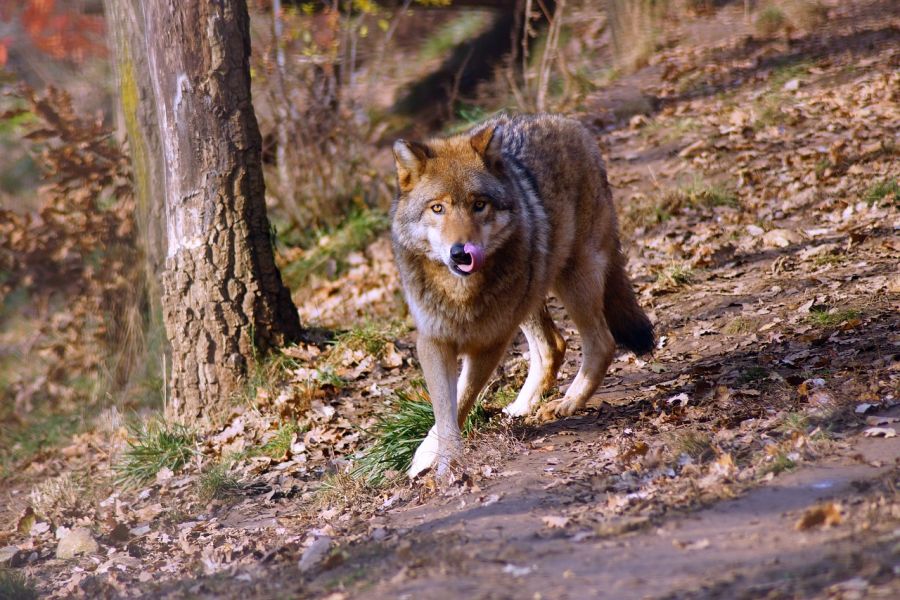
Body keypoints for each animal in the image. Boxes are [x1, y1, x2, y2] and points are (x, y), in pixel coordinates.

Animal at [390, 112, 652, 478]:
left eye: (479, 205)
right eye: (437, 208)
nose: (461, 253)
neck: (460, 294)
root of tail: (567, 122)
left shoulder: (490, 343)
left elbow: (462, 398)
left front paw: (442, 463)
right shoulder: (433, 341)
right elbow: (444, 409)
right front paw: (433, 458)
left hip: (572, 280)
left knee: (601, 342)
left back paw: (566, 403)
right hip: (532, 294)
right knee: (554, 345)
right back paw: (522, 407)